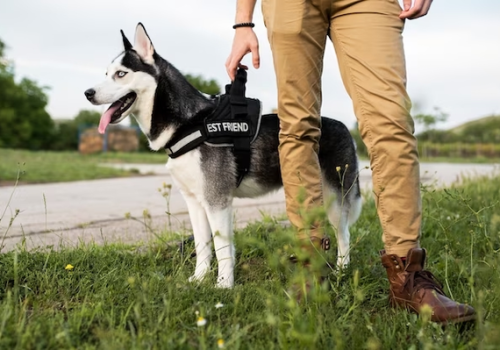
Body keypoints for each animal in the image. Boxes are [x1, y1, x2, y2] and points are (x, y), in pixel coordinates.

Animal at [84, 23, 362, 288]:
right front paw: (199, 279)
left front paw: (224, 285)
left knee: (344, 236)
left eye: (121, 74)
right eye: (106, 74)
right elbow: (203, 246)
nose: (87, 93)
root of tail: (343, 126)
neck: (189, 124)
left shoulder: (217, 200)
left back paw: (341, 272)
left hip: (336, 200)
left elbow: (222, 248)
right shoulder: (196, 202)